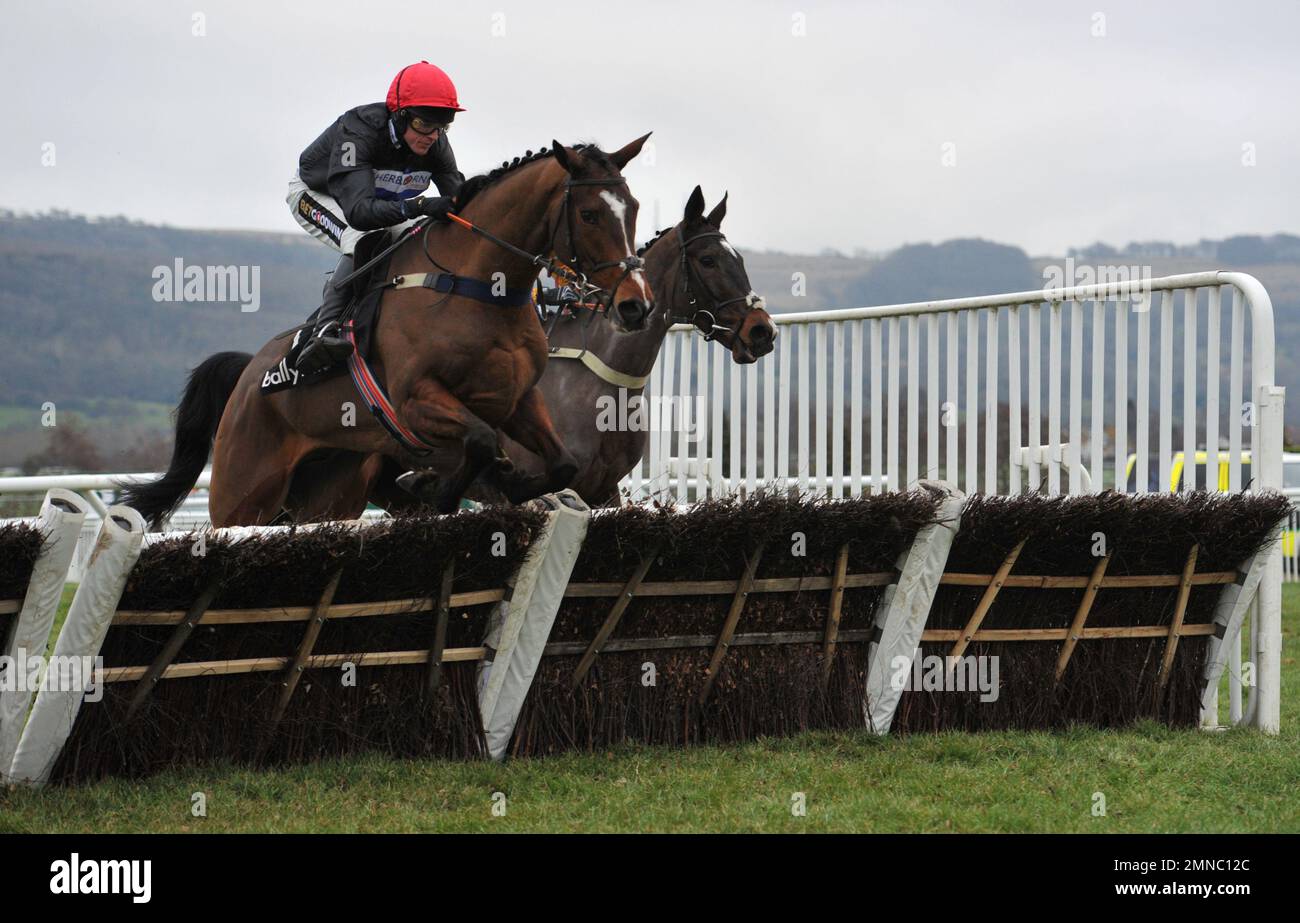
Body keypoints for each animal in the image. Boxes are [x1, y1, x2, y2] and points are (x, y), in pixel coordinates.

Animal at [126, 136, 655, 527]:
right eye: (589, 214)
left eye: (632, 207)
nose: (636, 304)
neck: (479, 286)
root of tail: (247, 376)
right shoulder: (415, 401)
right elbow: (482, 440)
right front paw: (431, 486)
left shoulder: (519, 399)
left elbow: (560, 464)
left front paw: (508, 485)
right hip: (241, 494)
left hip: (328, 493)